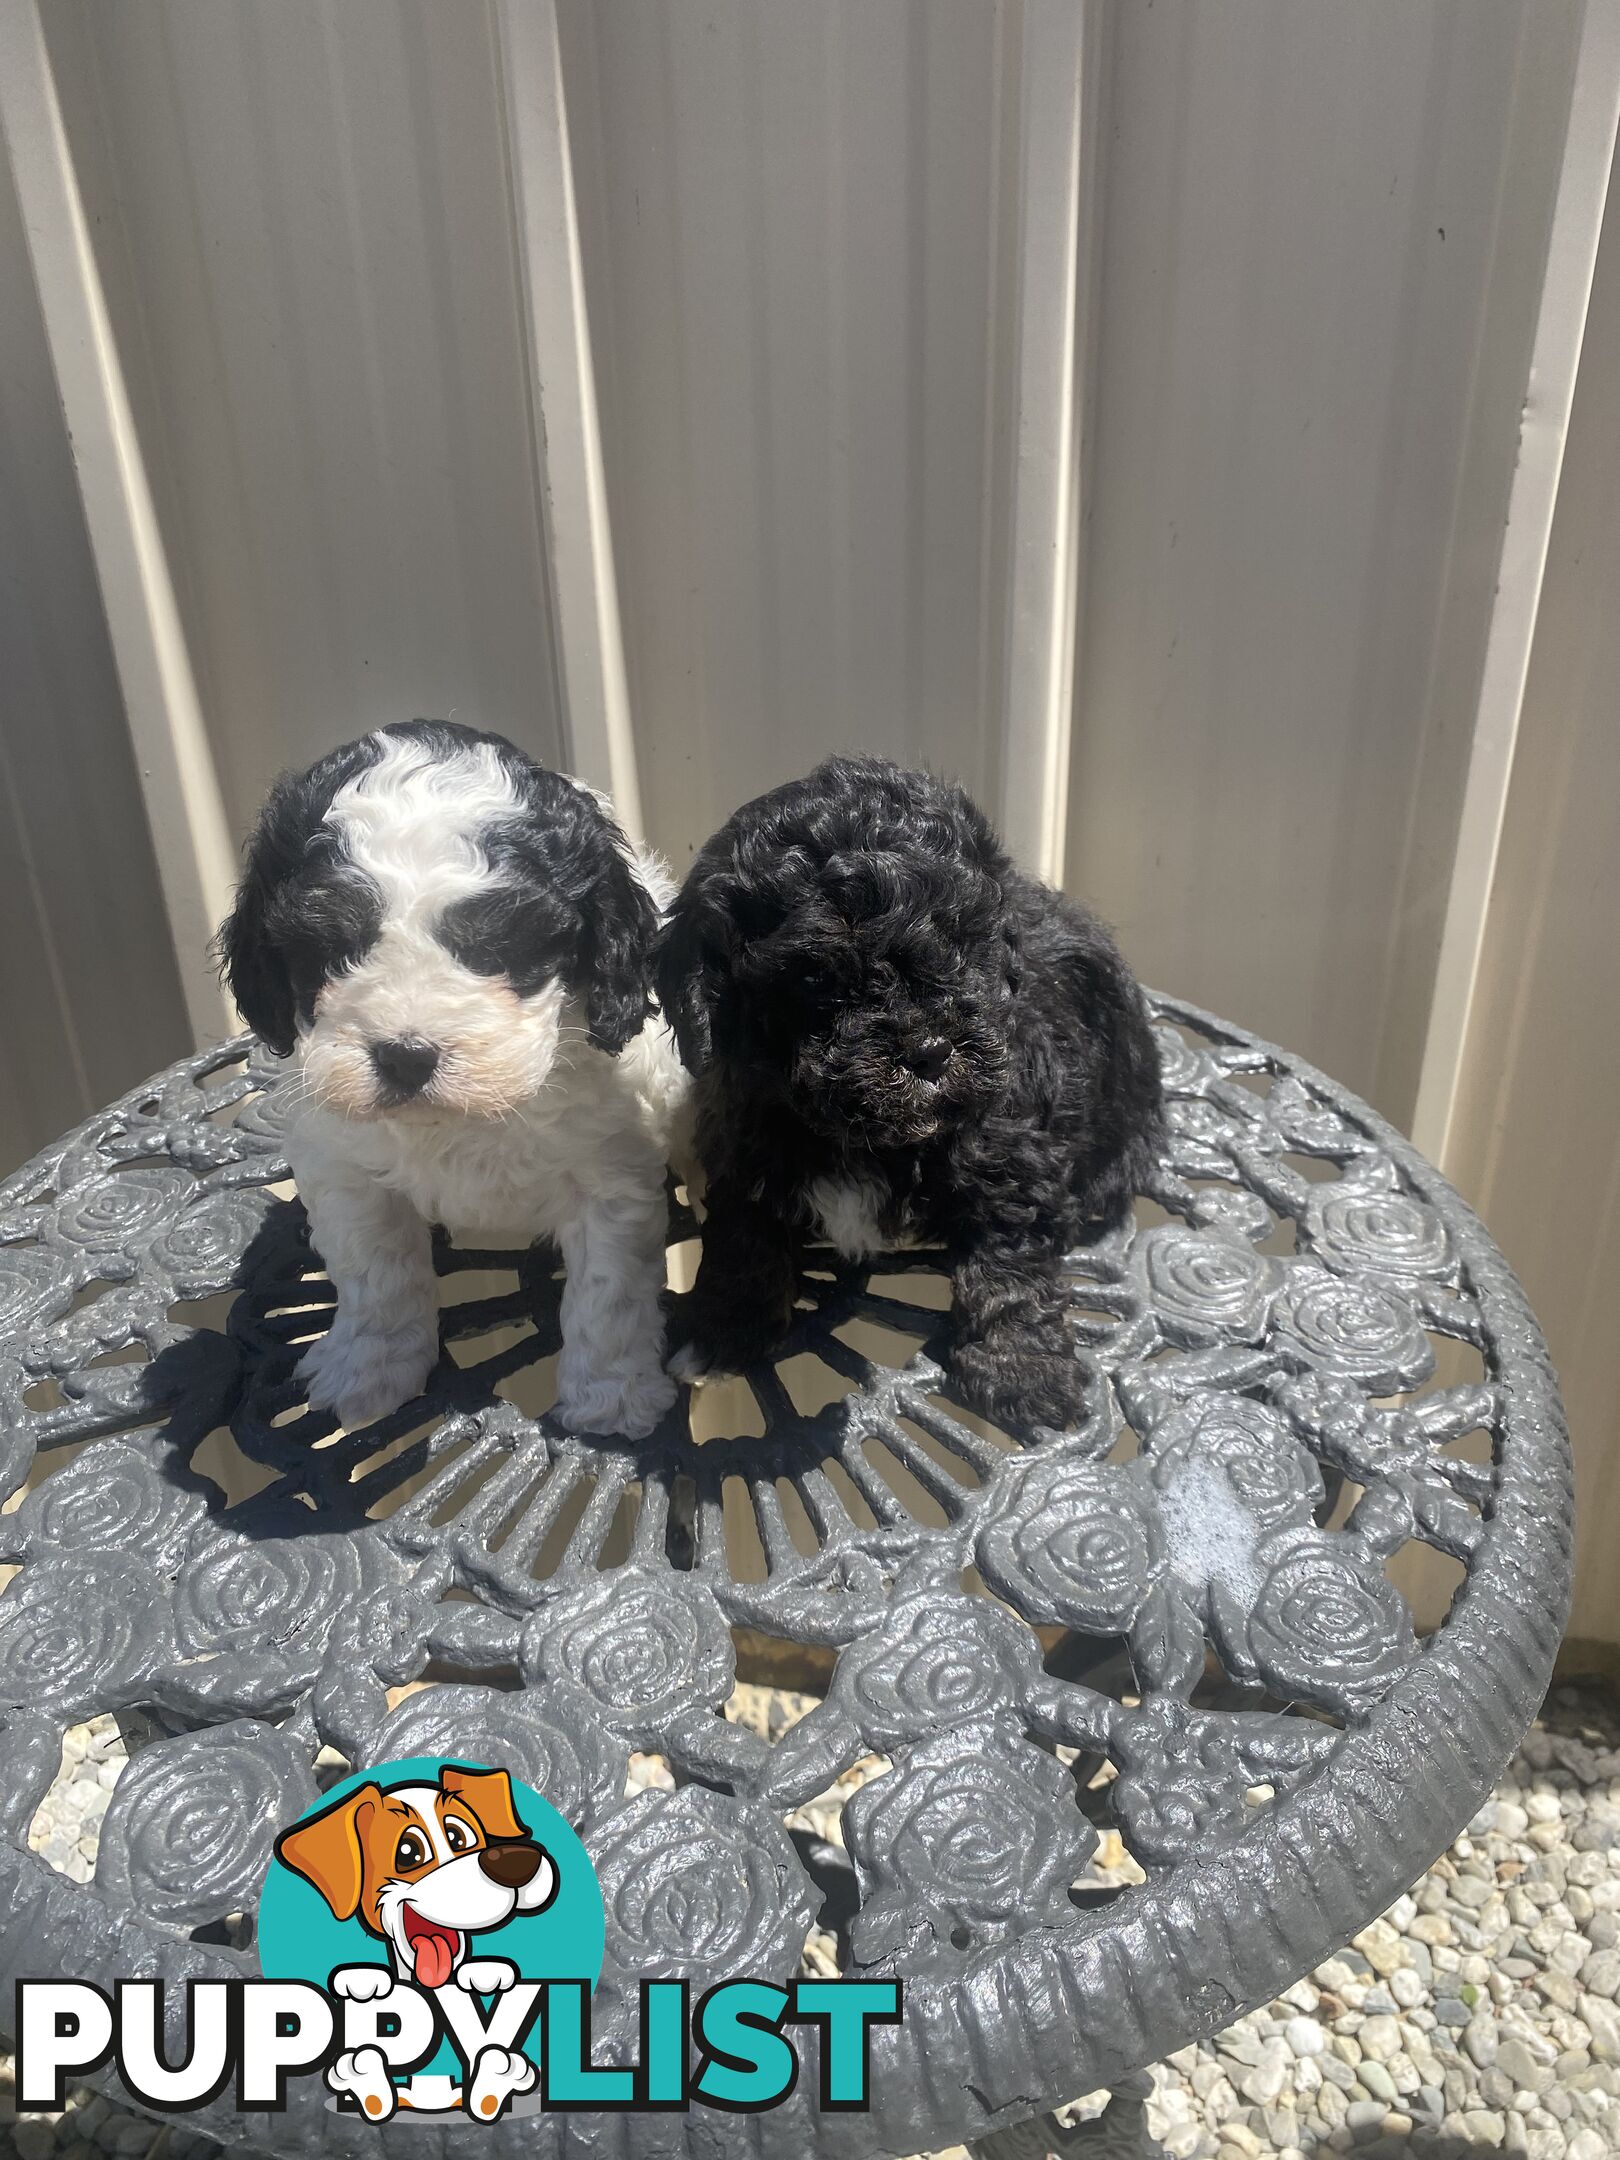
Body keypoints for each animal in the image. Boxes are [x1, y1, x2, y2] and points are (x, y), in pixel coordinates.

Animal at [217, 717, 686, 1442]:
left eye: (499, 944)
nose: (407, 1056)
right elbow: (376, 1276)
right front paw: (367, 1368)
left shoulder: (610, 1174)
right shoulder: (346, 1171)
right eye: (331, 945)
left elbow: (607, 1294)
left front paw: (612, 1397)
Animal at [660, 760, 1166, 1434]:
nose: (930, 1050)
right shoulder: (744, 1136)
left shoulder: (1013, 1156)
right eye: (815, 973)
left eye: (964, 944)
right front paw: (722, 1332)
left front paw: (1022, 1370)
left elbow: (1010, 1262)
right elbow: (745, 1236)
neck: (866, 1138)